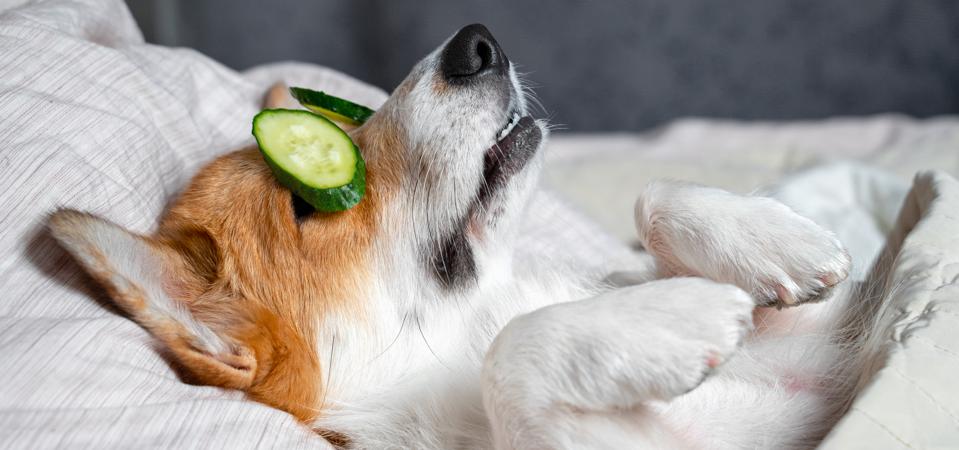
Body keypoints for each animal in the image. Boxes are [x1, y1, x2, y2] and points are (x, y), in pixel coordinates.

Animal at [48, 25, 868, 450]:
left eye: (344, 118)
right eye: (308, 202)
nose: (476, 42)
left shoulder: (828, 348)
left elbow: (652, 201)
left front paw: (777, 245)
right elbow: (514, 355)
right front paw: (674, 317)